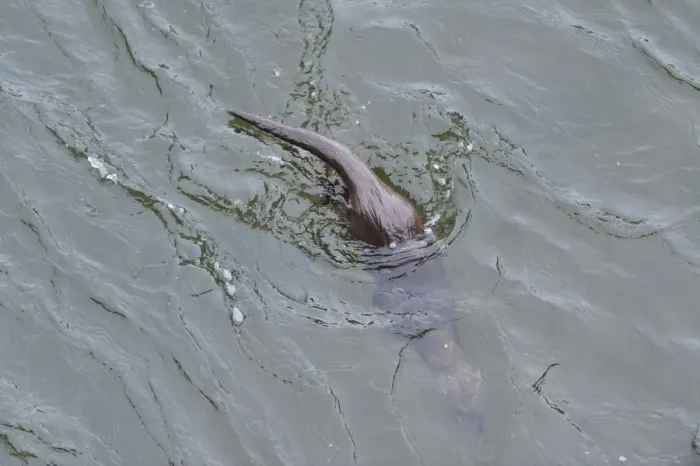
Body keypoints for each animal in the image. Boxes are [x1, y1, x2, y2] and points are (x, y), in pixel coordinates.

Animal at [227, 110, 484, 430]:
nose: (480, 429)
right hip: (360, 218)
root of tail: (373, 189)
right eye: (464, 414)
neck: (437, 334)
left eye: (484, 408)